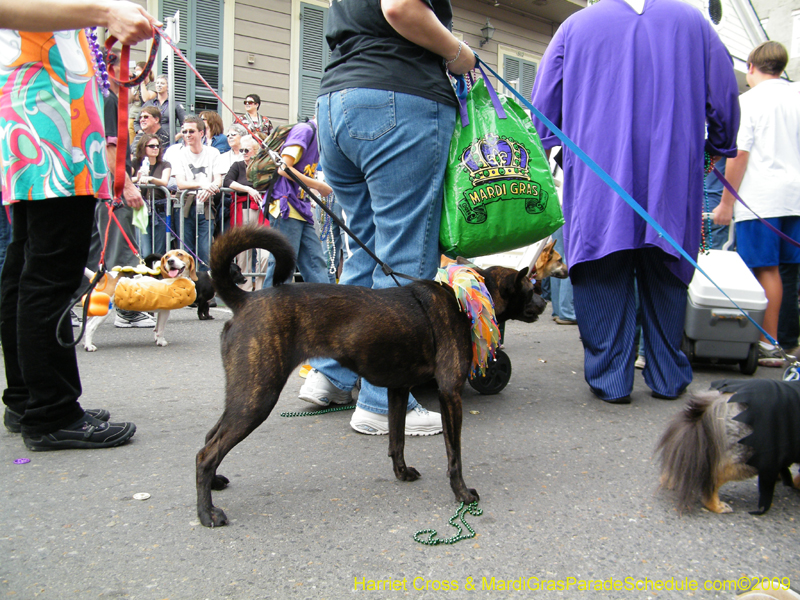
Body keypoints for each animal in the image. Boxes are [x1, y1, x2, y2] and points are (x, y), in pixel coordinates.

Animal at [196, 227, 548, 528]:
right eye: (531, 288)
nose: (545, 302)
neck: (464, 298)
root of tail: (246, 300)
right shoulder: (450, 394)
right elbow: (454, 454)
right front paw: (462, 493)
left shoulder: (398, 390)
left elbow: (397, 440)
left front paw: (402, 473)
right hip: (257, 397)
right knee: (206, 453)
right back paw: (207, 513)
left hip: (245, 394)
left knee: (211, 437)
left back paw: (214, 484)